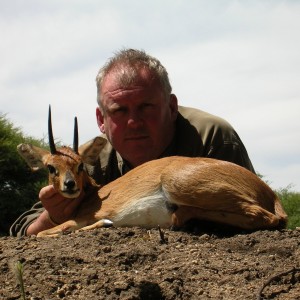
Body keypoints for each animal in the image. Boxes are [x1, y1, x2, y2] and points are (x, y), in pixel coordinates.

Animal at [17, 108, 288, 237]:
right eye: (51, 167)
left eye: (80, 165)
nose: (70, 185)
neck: (92, 197)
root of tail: (269, 192)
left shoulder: (81, 219)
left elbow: (43, 234)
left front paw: (104, 224)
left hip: (179, 185)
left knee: (266, 218)